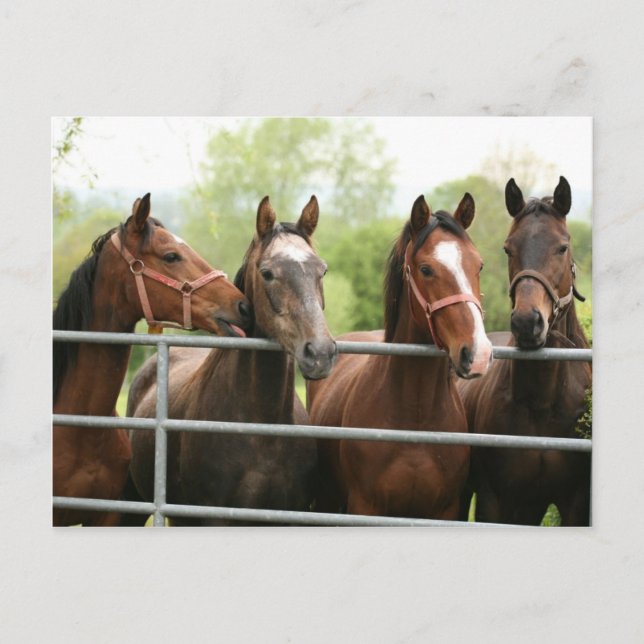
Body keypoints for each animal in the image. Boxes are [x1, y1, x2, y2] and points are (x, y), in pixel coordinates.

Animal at [307, 193, 493, 520]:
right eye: (426, 269)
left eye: (478, 265)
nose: (478, 353)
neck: (415, 417)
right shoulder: (365, 508)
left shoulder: (444, 510)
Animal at [457, 176, 591, 526]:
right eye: (508, 248)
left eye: (562, 246)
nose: (527, 322)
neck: (541, 403)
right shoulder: (495, 502)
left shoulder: (575, 503)